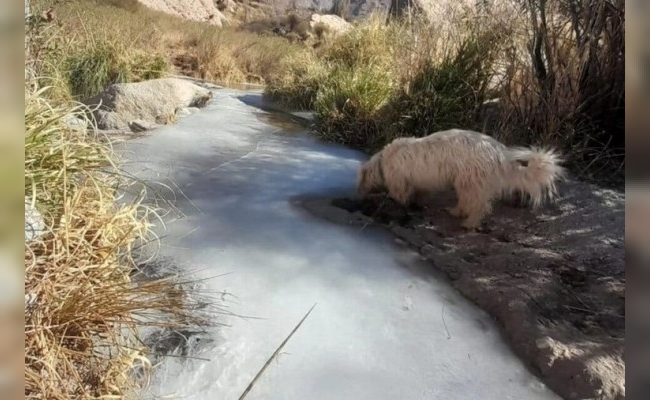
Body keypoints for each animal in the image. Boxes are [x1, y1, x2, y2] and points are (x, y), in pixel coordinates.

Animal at [354, 128, 560, 228]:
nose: (359, 195)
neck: (383, 160)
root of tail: (500, 152)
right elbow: (419, 192)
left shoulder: (399, 180)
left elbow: (401, 194)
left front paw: (402, 203)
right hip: (466, 181)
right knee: (467, 201)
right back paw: (457, 212)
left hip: (471, 178)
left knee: (479, 205)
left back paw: (469, 223)